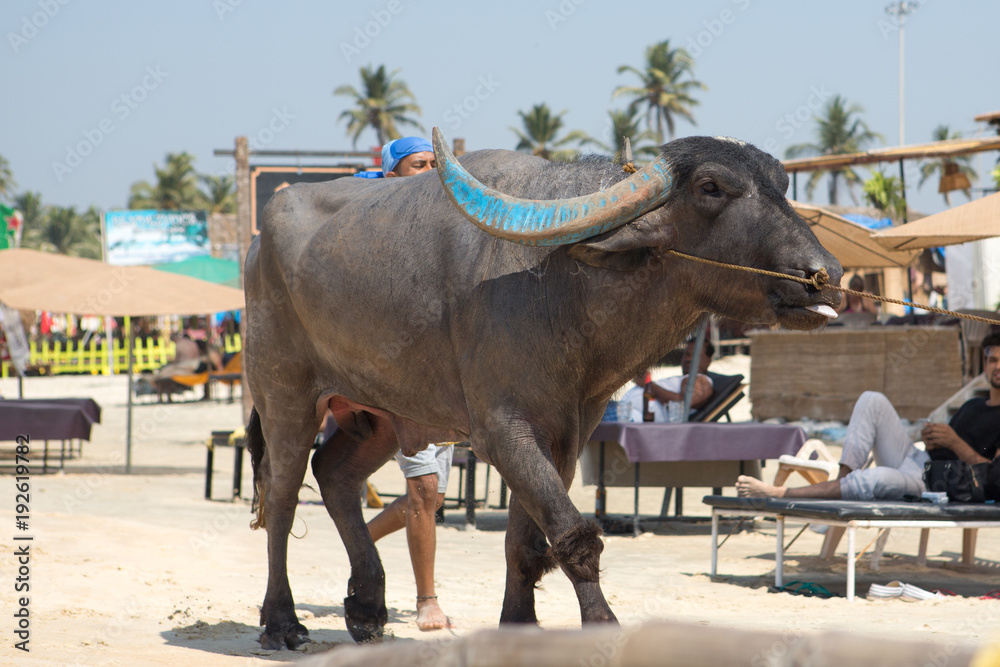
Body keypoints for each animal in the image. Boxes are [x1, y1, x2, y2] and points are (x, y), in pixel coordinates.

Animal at [243, 129, 843, 649]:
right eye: (712, 186)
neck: (559, 284)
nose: (824, 275)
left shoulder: (566, 434)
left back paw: (366, 606)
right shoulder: (502, 431)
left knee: (334, 473)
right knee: (281, 496)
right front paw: (602, 628)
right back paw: (282, 621)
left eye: (782, 183)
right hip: (285, 398)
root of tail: (256, 247)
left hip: (381, 414)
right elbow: (573, 536)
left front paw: (518, 627)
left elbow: (525, 543)